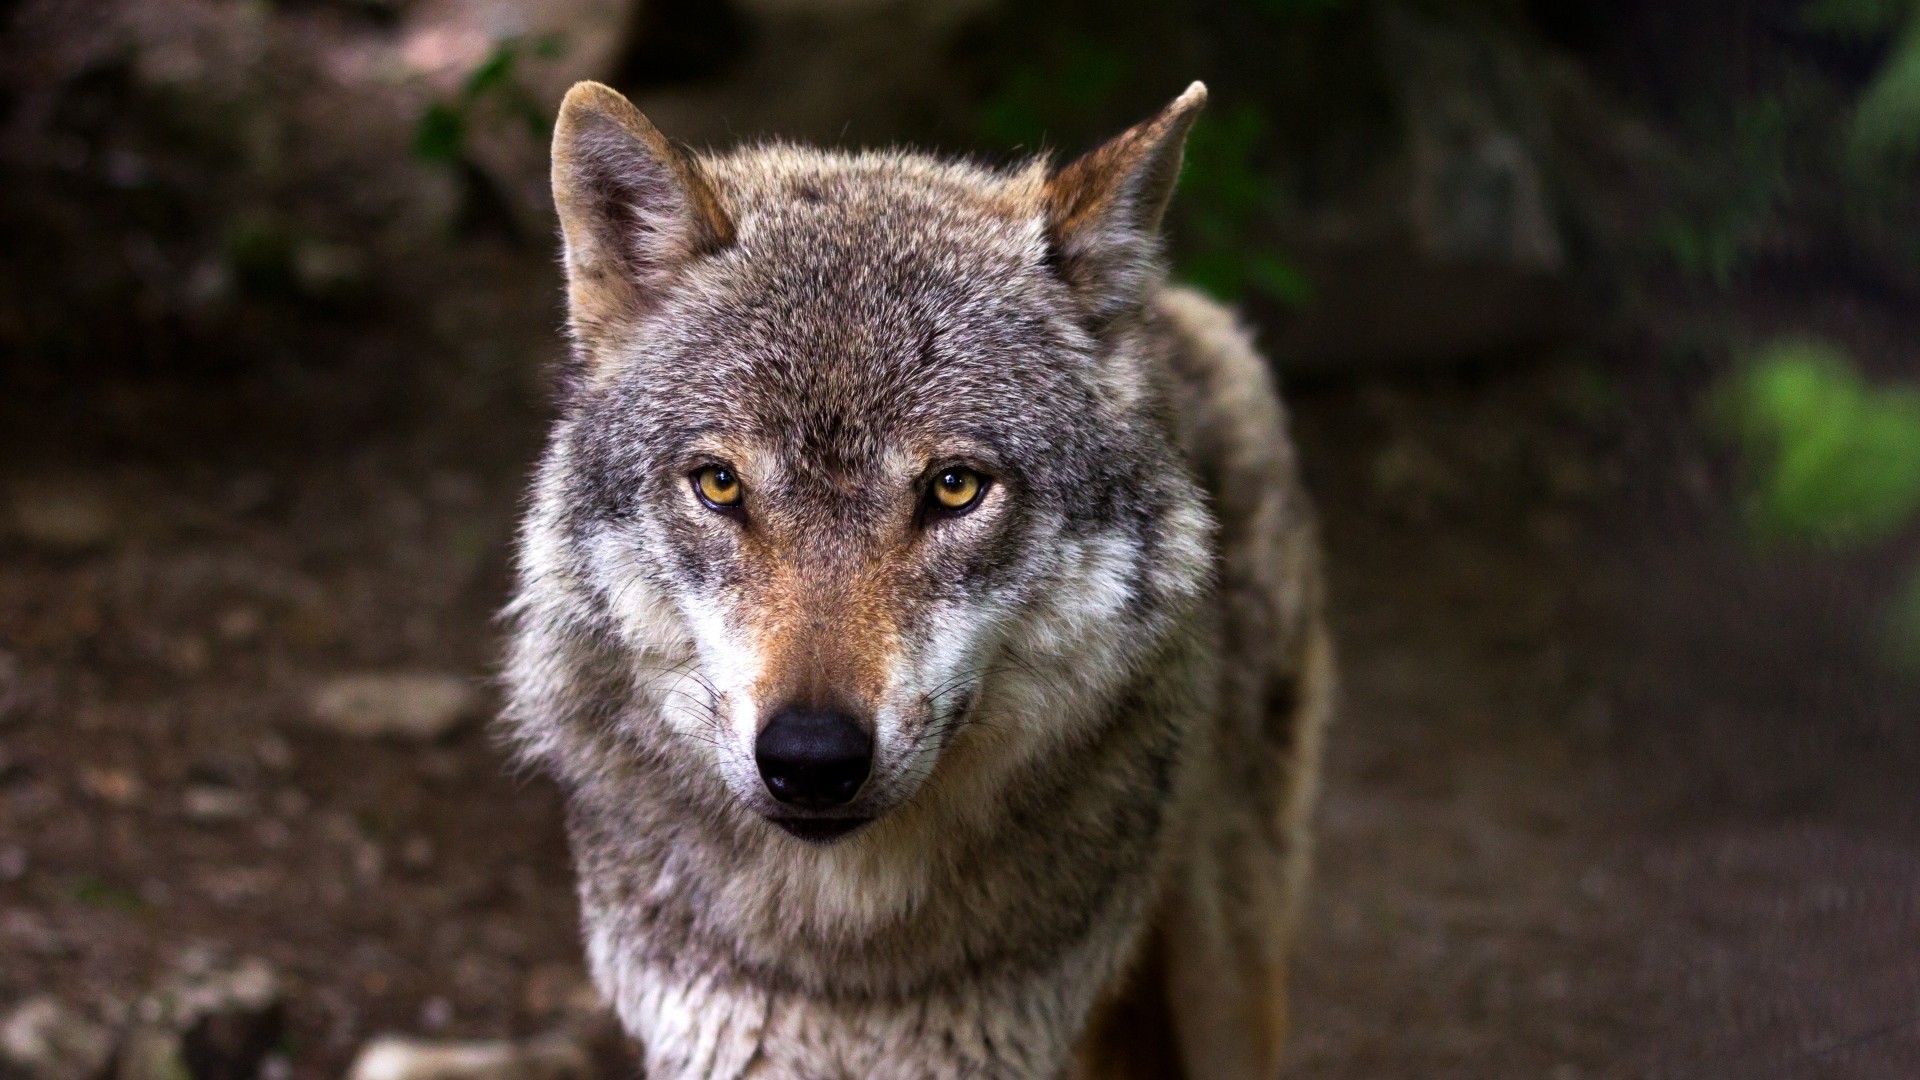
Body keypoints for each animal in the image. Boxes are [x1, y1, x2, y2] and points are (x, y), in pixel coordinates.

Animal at [501, 78, 1334, 1079]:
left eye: (954, 487)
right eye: (720, 484)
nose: (811, 758)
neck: (848, 966)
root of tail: (1171, 305)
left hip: (1226, 973)